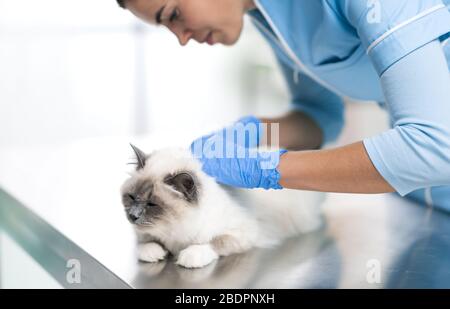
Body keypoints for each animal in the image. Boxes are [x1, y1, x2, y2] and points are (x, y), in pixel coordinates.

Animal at [121, 144, 322, 268]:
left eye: (152, 204)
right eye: (131, 197)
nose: (133, 216)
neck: (173, 232)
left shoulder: (243, 232)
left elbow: (214, 242)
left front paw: (189, 256)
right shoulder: (146, 233)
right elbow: (146, 241)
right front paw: (153, 252)